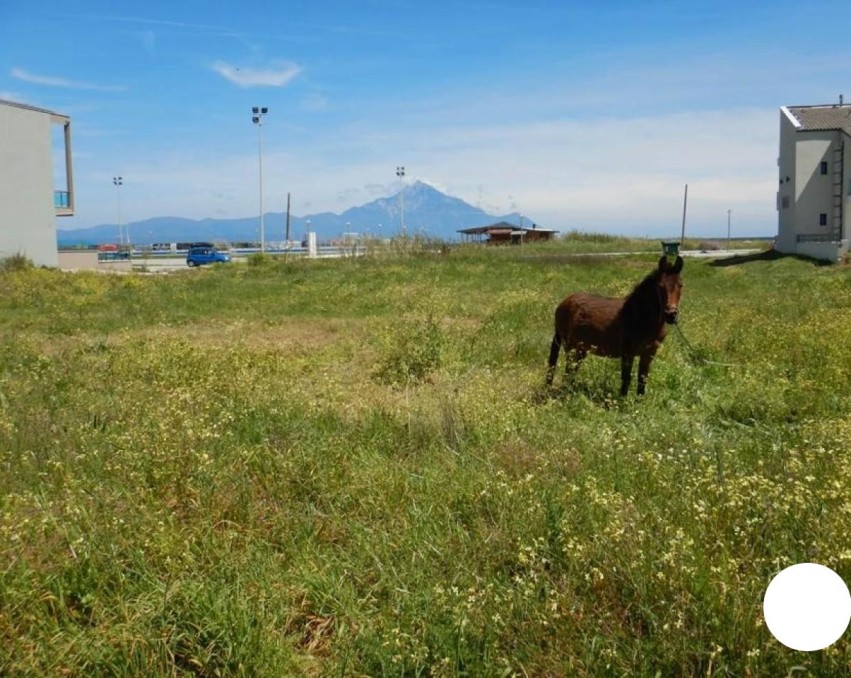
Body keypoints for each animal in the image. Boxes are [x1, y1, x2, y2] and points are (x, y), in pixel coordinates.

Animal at [544, 258, 684, 398]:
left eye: (681, 285)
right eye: (660, 286)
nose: (671, 315)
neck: (639, 315)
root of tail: (563, 303)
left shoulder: (648, 354)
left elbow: (642, 381)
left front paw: (639, 402)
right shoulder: (628, 353)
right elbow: (626, 379)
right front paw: (623, 401)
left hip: (581, 350)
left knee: (572, 372)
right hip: (571, 348)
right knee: (568, 372)